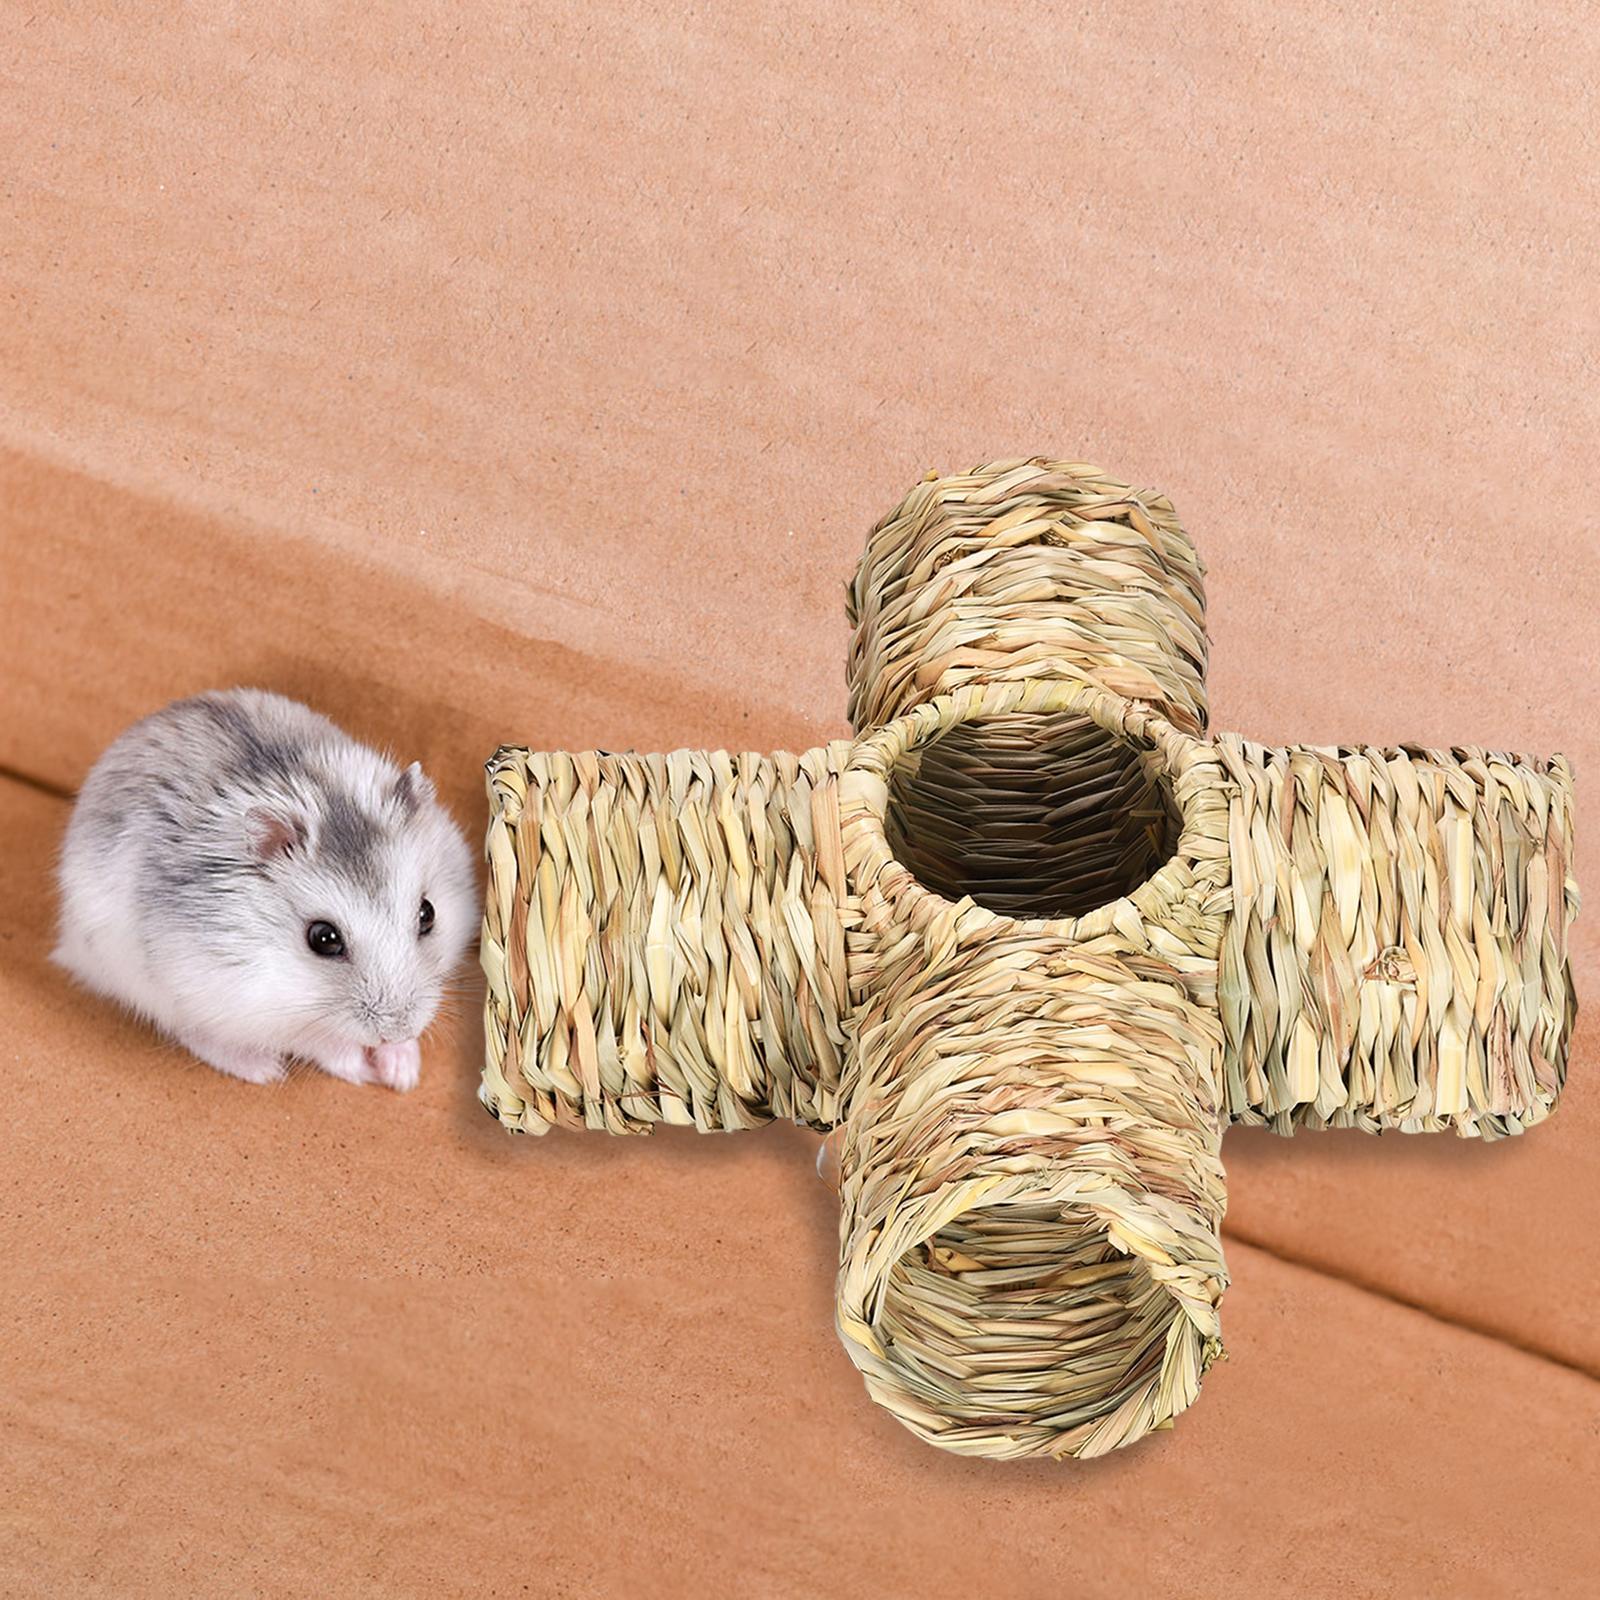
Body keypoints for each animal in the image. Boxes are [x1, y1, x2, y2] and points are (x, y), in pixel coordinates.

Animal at [53, 689, 476, 1092]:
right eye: (323, 938)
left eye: (427, 914)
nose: (397, 1030)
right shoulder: (246, 1003)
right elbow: (321, 1039)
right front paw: (366, 1071)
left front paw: (404, 1072)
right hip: (145, 983)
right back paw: (260, 1069)